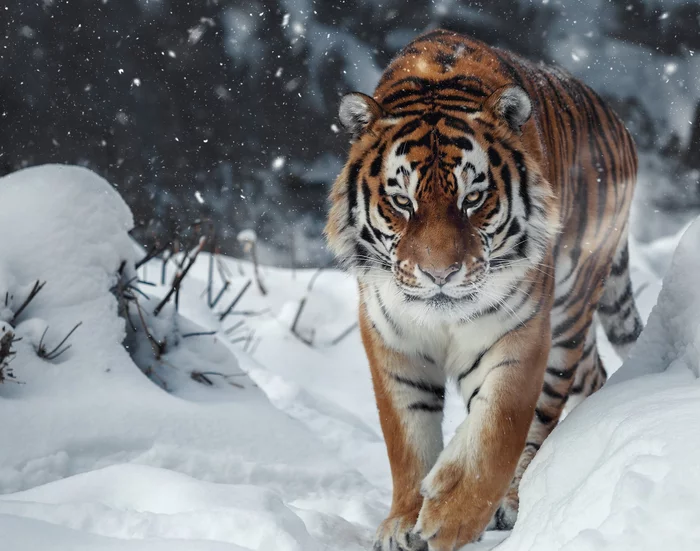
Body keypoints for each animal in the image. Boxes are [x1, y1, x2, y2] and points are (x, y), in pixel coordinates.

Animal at [326, 29, 644, 551]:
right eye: (402, 201)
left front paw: (449, 518)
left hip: (569, 314)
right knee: (593, 375)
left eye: (472, 198)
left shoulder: (519, 334)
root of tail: (618, 122)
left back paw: (512, 503)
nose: (439, 274)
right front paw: (402, 523)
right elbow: (407, 441)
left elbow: (498, 429)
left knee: (543, 416)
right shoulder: (392, 341)